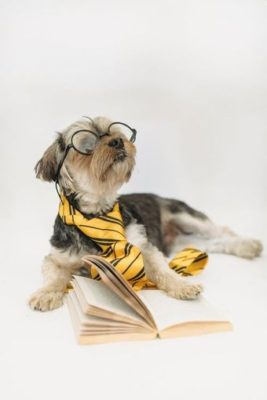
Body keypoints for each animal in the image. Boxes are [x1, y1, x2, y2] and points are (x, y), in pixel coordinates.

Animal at [29, 115, 264, 310]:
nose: (118, 141)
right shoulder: (58, 257)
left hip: (184, 215)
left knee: (222, 230)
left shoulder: (144, 247)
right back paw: (247, 248)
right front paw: (46, 294)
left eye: (115, 131)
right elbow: (54, 275)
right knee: (214, 243)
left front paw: (182, 285)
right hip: (182, 244)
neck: (98, 214)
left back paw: (249, 244)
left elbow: (162, 270)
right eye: (88, 146)